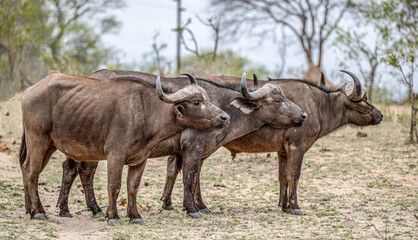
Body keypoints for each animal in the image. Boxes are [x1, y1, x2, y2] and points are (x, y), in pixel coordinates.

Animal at [18, 71, 229, 225]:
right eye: (196, 102)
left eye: (209, 99)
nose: (224, 117)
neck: (146, 112)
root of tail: (28, 91)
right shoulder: (115, 155)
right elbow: (114, 185)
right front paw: (113, 216)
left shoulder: (140, 159)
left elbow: (133, 187)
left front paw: (134, 215)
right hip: (38, 139)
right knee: (32, 171)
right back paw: (39, 212)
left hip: (49, 145)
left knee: (28, 169)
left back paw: (30, 209)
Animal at [54, 70, 306, 218]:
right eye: (278, 99)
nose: (303, 115)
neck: (220, 104)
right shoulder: (192, 149)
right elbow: (189, 179)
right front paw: (192, 209)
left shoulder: (192, 153)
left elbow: (191, 179)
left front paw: (194, 205)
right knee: (84, 172)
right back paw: (93, 208)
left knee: (71, 169)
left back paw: (69, 208)